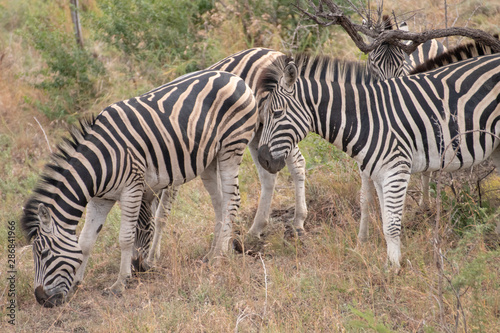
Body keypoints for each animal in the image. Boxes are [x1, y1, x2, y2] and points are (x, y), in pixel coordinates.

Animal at [20, 70, 258, 306]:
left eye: (44, 253)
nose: (41, 299)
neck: (100, 163)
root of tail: (234, 77)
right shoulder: (101, 199)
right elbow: (85, 241)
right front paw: (77, 283)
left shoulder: (132, 187)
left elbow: (125, 238)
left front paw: (120, 283)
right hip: (209, 159)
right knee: (220, 203)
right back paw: (212, 253)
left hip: (231, 147)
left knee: (232, 199)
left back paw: (220, 256)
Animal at [132, 48, 308, 272]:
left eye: (142, 227)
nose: (137, 267)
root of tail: (271, 51)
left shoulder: (175, 173)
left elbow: (162, 214)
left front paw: (153, 258)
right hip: (261, 130)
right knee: (269, 175)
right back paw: (256, 229)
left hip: (277, 125)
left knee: (298, 164)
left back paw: (298, 221)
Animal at [256, 52, 500, 270]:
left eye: (276, 113)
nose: (262, 160)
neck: (367, 118)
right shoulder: (380, 174)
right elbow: (384, 220)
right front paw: (392, 262)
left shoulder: (396, 170)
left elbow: (391, 225)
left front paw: (393, 269)